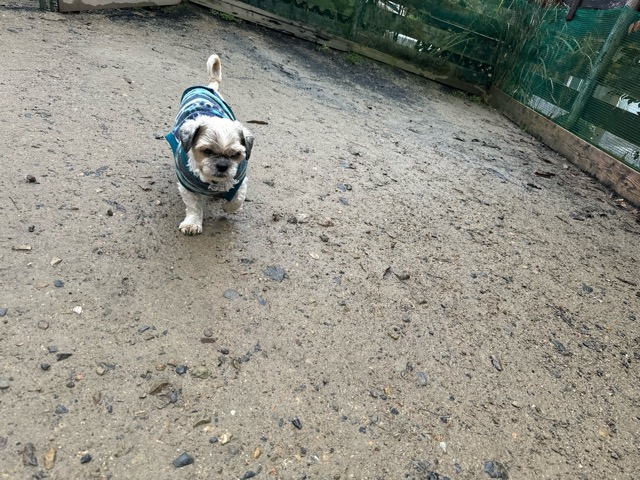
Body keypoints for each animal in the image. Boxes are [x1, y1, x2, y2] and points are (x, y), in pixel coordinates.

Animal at [165, 54, 253, 235]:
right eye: (206, 151)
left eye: (235, 154)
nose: (222, 165)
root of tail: (209, 86)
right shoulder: (187, 187)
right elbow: (194, 207)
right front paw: (192, 223)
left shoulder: (240, 182)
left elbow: (236, 201)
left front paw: (227, 206)